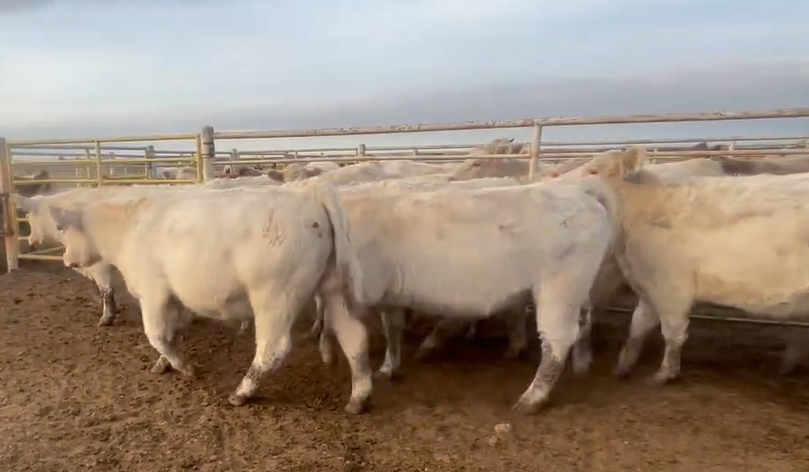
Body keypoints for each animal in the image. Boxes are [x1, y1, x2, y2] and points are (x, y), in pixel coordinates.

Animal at [45, 183, 370, 413]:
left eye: (63, 229)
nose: (66, 260)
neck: (131, 227)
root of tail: (311, 193)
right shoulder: (175, 298)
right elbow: (172, 332)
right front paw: (164, 363)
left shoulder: (153, 293)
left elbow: (156, 334)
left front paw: (184, 367)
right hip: (332, 290)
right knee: (355, 337)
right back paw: (359, 396)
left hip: (275, 296)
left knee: (272, 349)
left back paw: (241, 392)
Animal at [313, 177, 616, 413]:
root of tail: (581, 192)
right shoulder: (391, 295)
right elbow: (392, 329)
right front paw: (389, 367)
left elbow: (352, 335)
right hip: (578, 289)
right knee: (584, 322)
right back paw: (580, 365)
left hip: (559, 288)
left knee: (558, 339)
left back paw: (531, 399)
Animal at [582, 146, 809, 384]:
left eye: (593, 170)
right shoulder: (649, 287)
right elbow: (637, 326)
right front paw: (621, 367)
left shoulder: (673, 288)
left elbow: (673, 333)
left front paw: (663, 375)